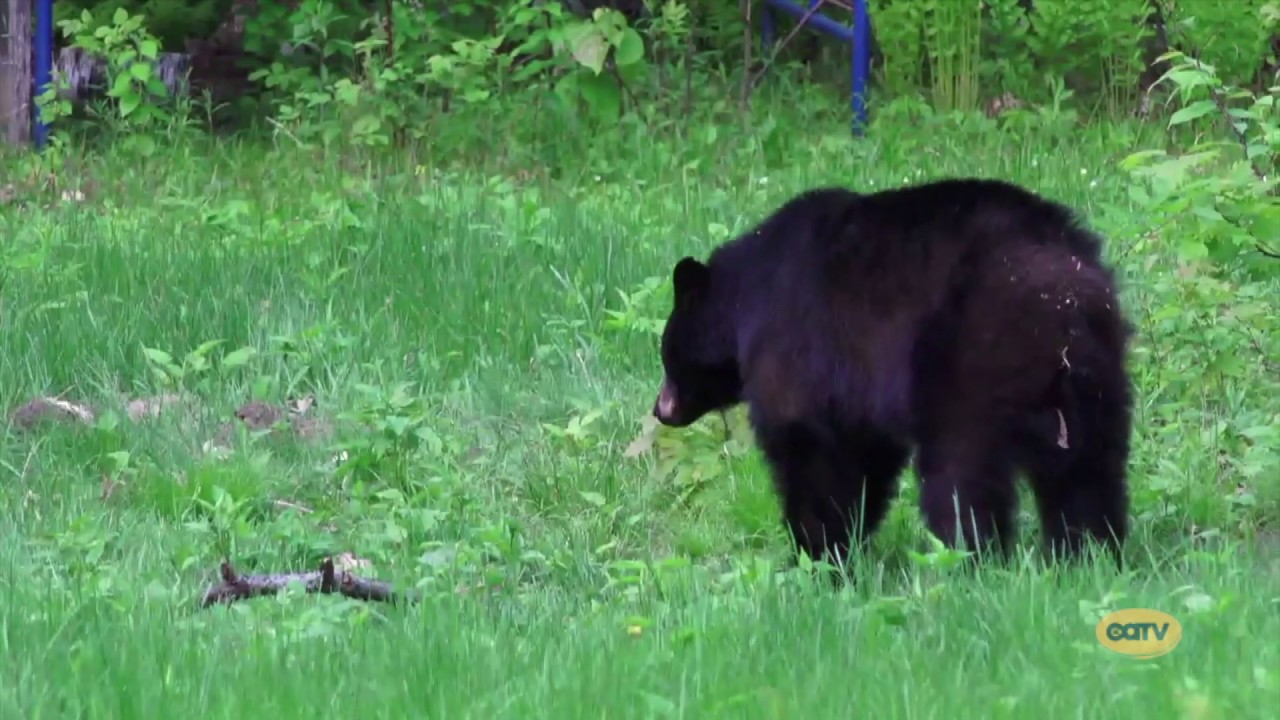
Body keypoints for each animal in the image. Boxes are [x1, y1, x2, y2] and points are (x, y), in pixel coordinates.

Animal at [650, 177, 1133, 570]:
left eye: (667, 355)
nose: (661, 409)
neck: (743, 304)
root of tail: (1064, 292)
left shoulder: (796, 352)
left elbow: (813, 455)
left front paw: (815, 556)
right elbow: (866, 457)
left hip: (970, 360)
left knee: (961, 472)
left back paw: (970, 561)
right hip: (1094, 378)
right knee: (1090, 470)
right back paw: (1089, 553)